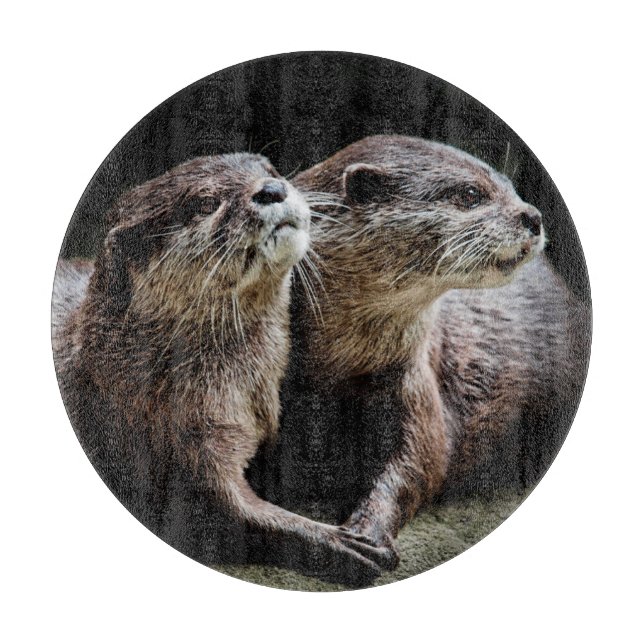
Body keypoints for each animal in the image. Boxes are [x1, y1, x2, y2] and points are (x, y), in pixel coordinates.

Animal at [52, 153, 393, 585]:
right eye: (204, 203)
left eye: (270, 170)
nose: (272, 189)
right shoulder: (180, 442)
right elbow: (230, 511)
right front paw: (338, 541)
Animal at [249, 135, 590, 567]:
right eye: (470, 194)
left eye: (511, 188)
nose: (533, 216)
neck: (333, 363)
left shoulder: (411, 374)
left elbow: (420, 461)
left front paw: (368, 531)